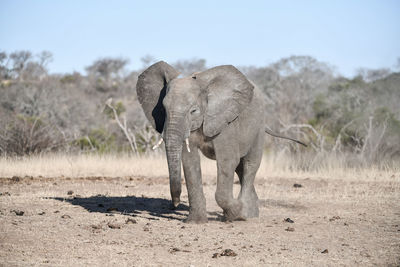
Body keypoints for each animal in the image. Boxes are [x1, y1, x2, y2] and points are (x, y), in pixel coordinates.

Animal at [136, 61, 304, 223]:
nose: (175, 204)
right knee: (240, 169)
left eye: (193, 111)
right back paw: (250, 214)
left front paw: (237, 214)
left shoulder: (226, 122)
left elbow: (227, 160)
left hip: (258, 128)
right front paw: (195, 222)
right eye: (163, 110)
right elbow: (190, 161)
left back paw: (245, 215)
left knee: (250, 165)